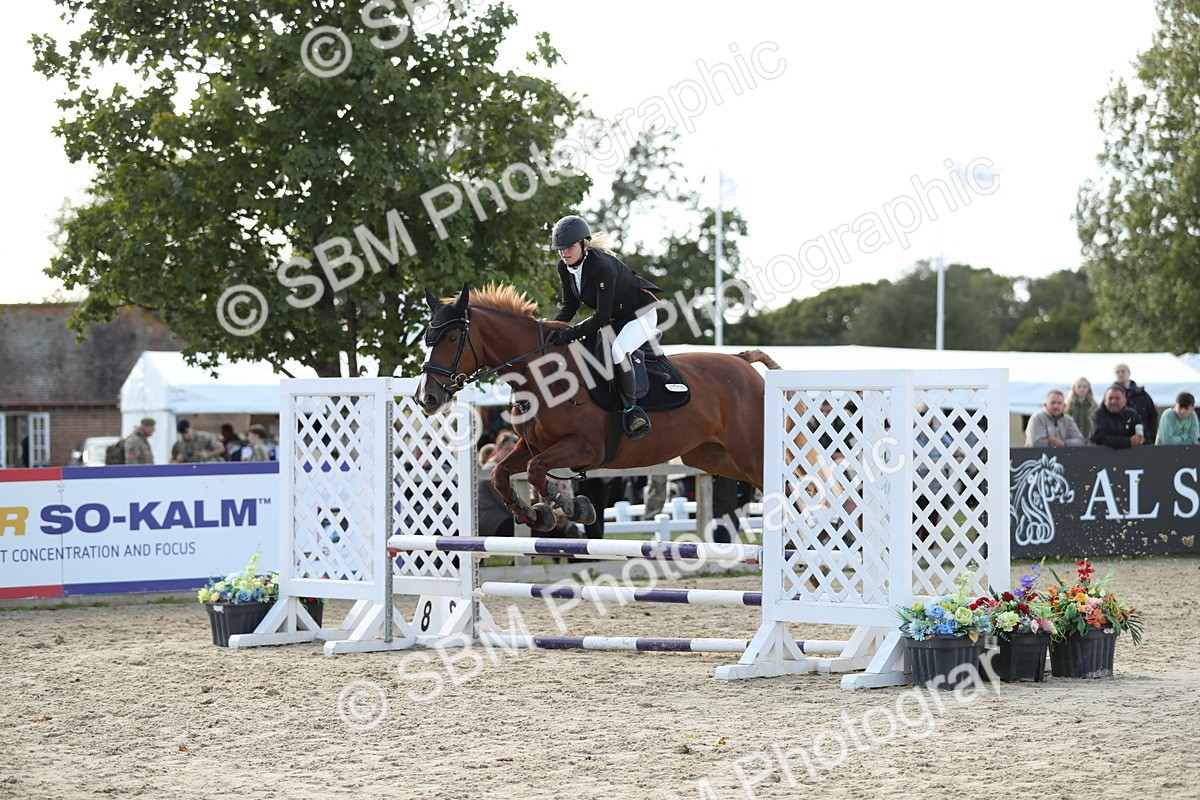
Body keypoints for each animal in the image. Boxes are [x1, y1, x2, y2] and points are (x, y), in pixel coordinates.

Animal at [417, 284, 781, 532]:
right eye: (426, 339)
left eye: (451, 338)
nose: (427, 398)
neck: (542, 374)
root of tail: (742, 362)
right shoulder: (533, 443)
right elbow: (500, 473)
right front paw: (532, 513)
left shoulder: (586, 447)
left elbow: (535, 469)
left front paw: (572, 507)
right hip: (712, 456)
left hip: (751, 453)